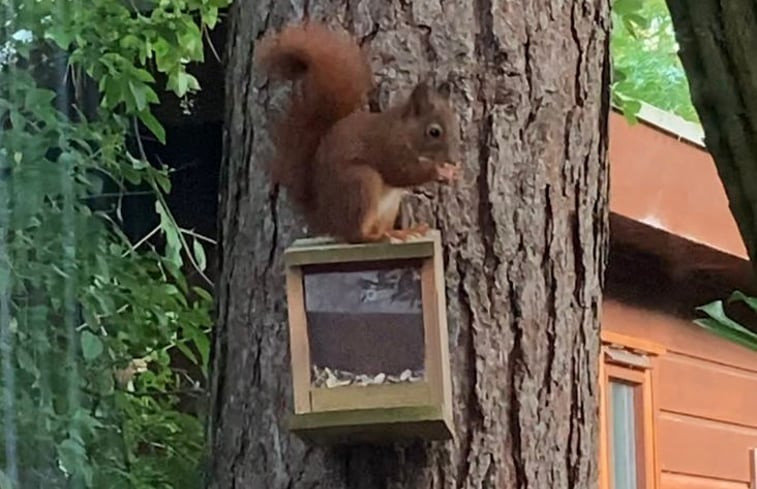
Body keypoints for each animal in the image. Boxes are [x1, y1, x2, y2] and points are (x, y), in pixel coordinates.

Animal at [255, 21, 460, 243]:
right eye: (434, 132)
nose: (453, 159)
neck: (403, 131)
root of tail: (328, 221)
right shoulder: (387, 147)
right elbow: (400, 173)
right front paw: (439, 172)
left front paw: (452, 172)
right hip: (362, 183)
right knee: (356, 235)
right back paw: (379, 236)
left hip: (388, 205)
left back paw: (401, 231)